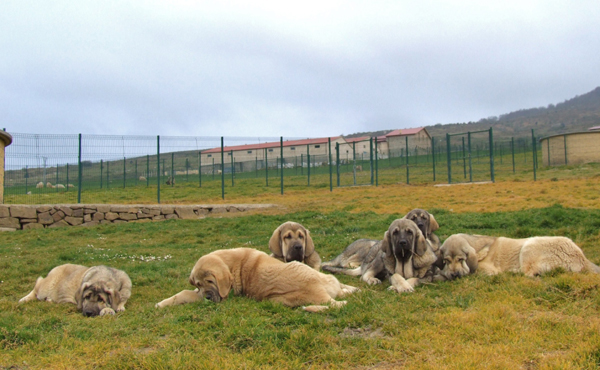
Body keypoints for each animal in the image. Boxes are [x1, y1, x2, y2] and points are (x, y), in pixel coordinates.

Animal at [157, 249, 358, 312]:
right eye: (198, 284)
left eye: (211, 282)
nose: (207, 297)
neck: (230, 264)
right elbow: (185, 292)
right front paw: (163, 302)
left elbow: (185, 293)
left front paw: (160, 303)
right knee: (340, 291)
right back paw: (354, 291)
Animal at [436, 234, 600, 280]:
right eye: (446, 261)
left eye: (460, 259)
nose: (454, 275)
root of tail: (582, 258)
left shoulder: (488, 269)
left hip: (529, 245)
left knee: (528, 273)